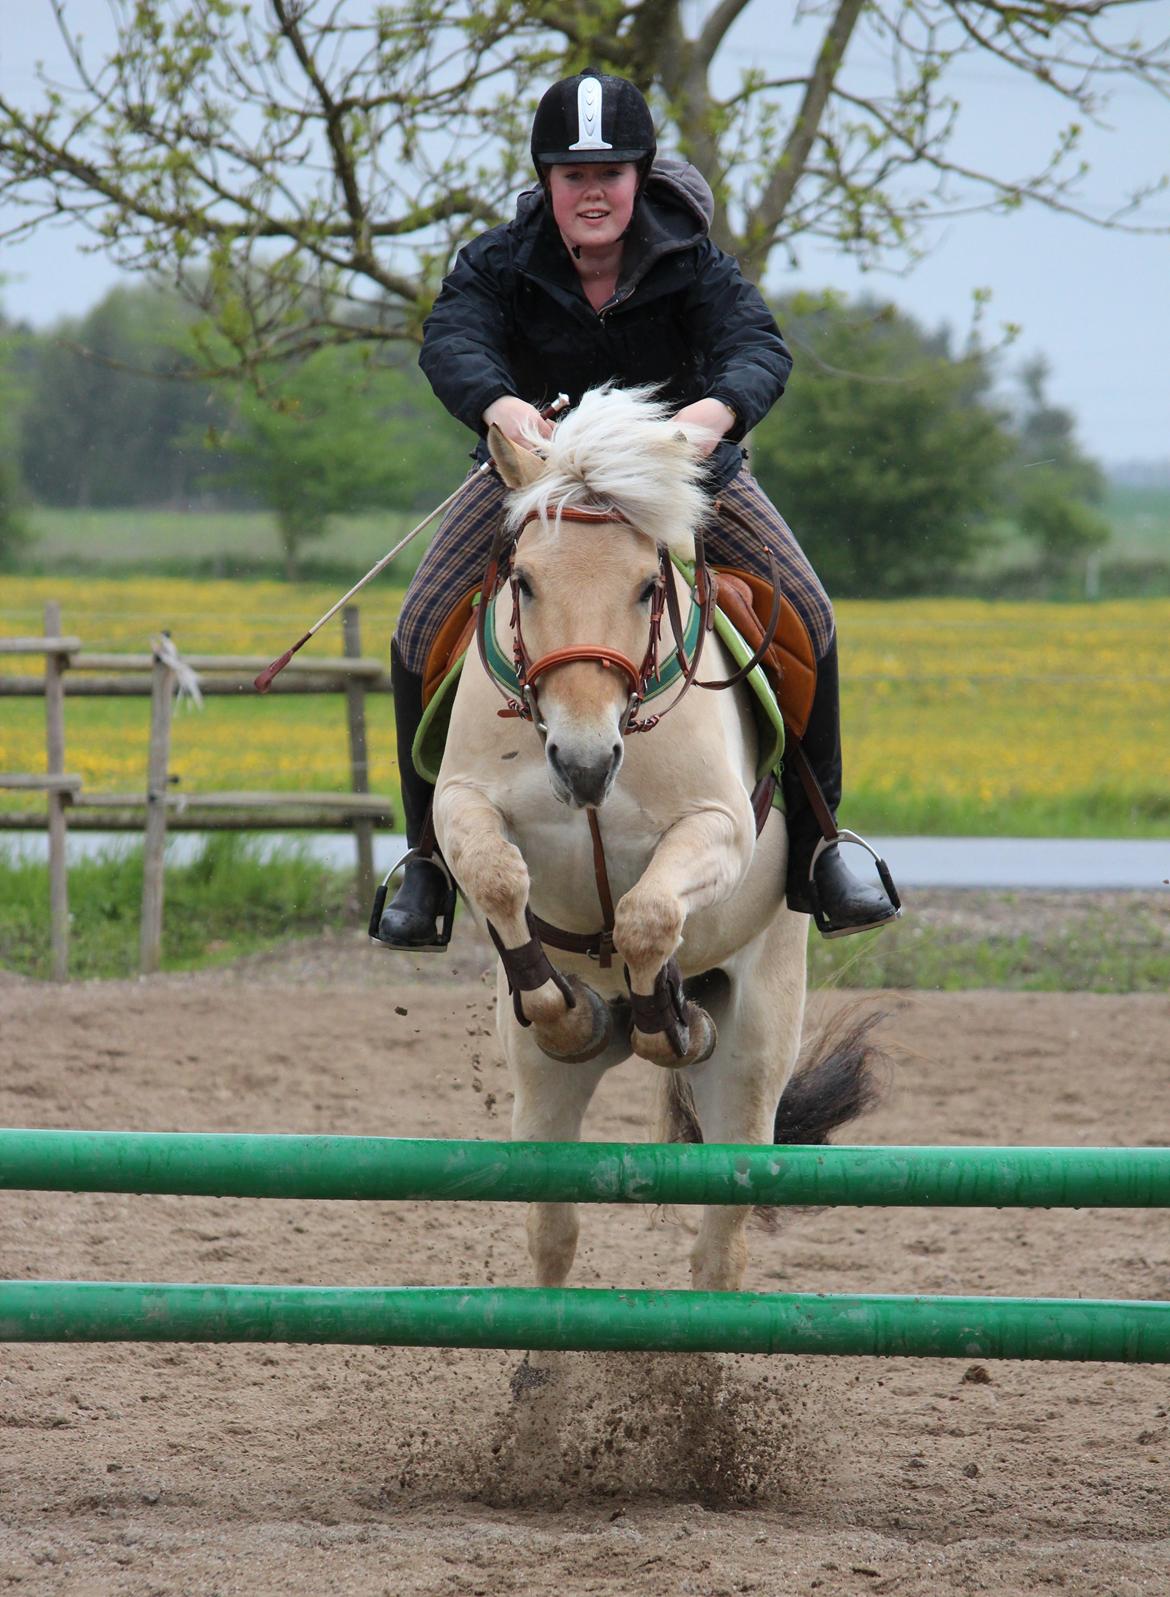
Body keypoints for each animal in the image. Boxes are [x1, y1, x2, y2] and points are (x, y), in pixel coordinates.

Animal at [434, 386, 881, 1296]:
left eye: (648, 586)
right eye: (524, 582)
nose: (583, 761)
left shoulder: (718, 829)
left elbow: (645, 915)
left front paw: (660, 1018)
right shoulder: (459, 803)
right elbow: (498, 878)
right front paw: (568, 1008)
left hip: (753, 1057)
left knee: (721, 1244)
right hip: (540, 1088)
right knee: (553, 1231)